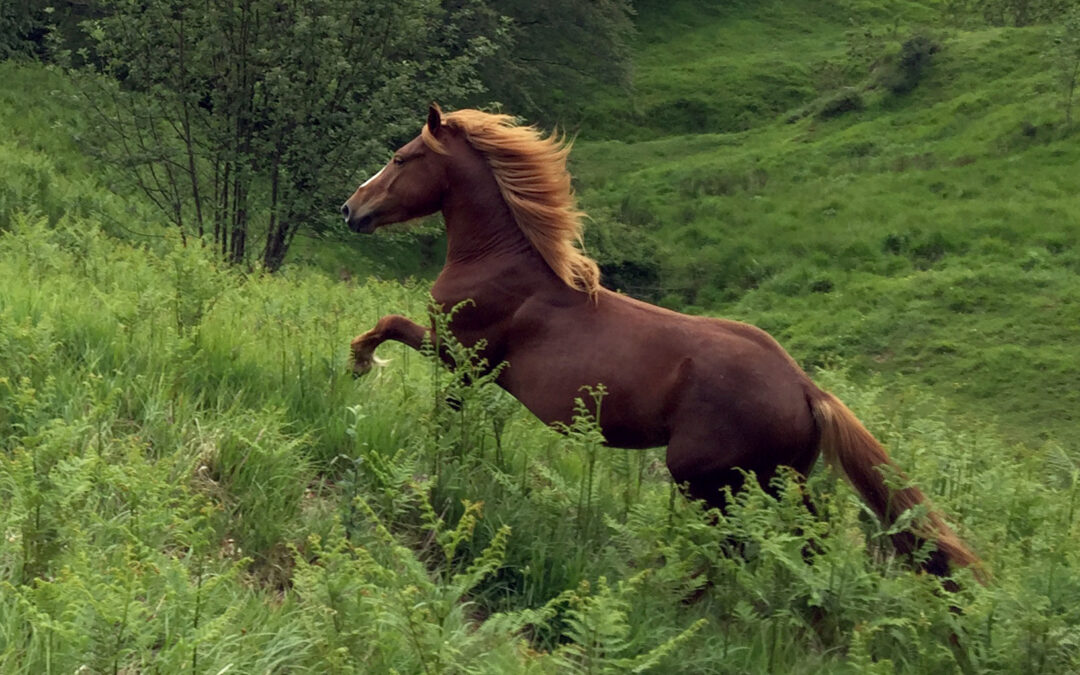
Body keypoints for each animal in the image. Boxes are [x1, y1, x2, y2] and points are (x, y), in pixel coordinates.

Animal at [341, 105, 984, 578]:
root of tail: (806, 389)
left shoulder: (459, 354)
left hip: (708, 482)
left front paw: (360, 365)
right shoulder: (465, 366)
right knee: (804, 544)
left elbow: (392, 326)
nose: (351, 209)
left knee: (733, 550)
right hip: (778, 482)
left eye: (401, 157)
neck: (501, 265)